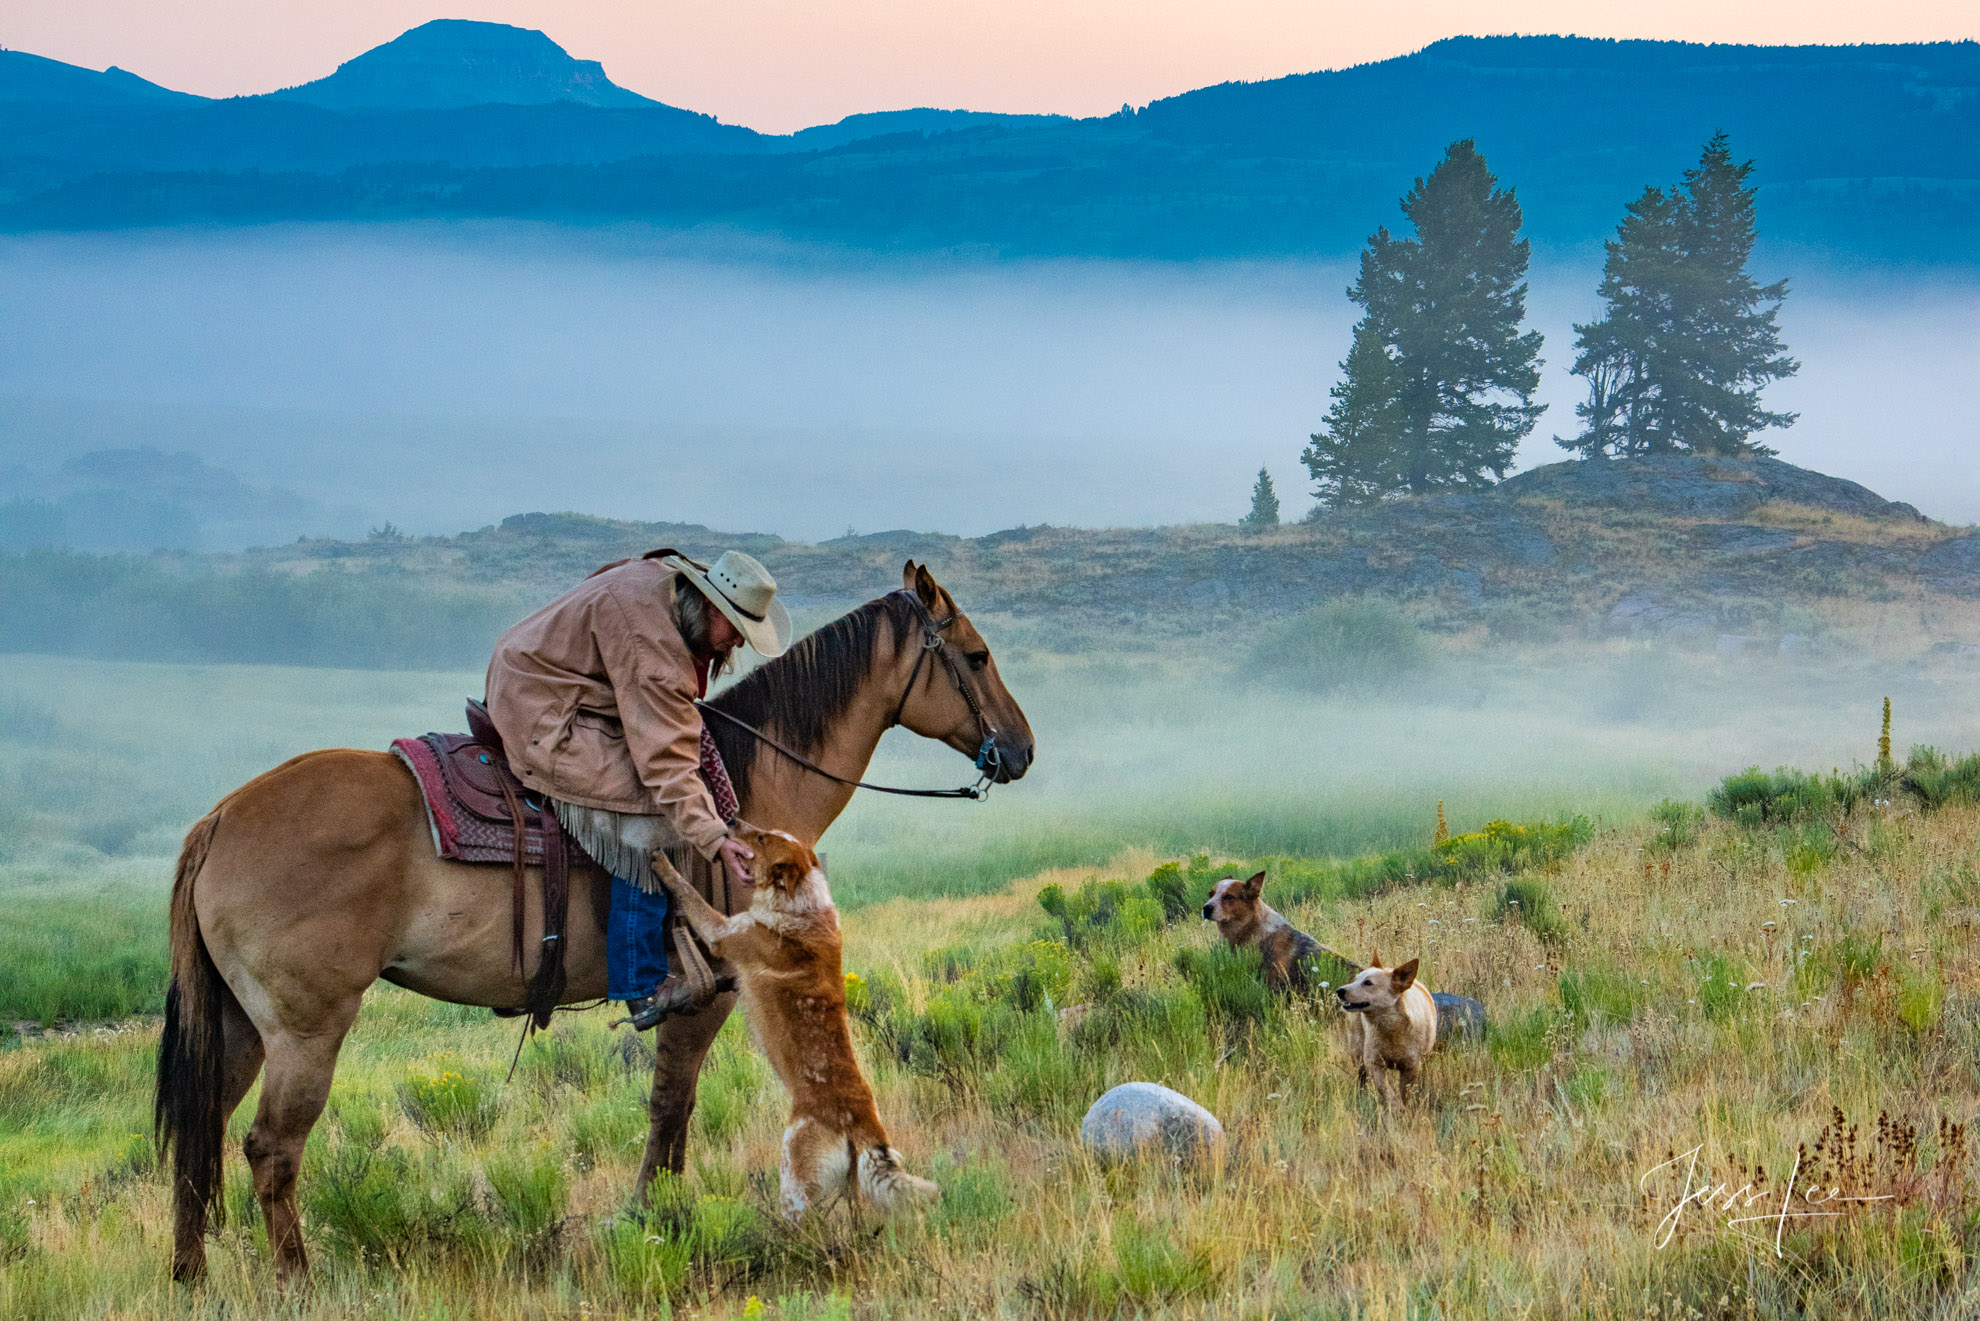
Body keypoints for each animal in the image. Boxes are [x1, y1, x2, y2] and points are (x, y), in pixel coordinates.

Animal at [657, 831, 934, 1227]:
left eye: (760, 837)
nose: (732, 823)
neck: (801, 906)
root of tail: (865, 1123)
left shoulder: (722, 931)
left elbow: (688, 891)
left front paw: (660, 863)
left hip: (793, 1178)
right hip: (851, 1188)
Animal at [1330, 950, 1441, 1109]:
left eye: (1368, 983)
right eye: (1355, 979)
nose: (1339, 990)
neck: (1391, 1029)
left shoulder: (1411, 1067)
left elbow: (1405, 1092)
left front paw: (1405, 1108)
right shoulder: (1374, 1063)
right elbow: (1385, 1090)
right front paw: (1396, 1107)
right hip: (1357, 1051)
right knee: (1361, 1079)